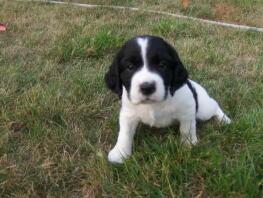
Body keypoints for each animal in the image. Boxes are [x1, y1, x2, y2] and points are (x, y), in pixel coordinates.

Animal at [105, 35, 231, 164]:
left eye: (162, 65)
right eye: (130, 67)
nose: (147, 87)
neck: (153, 104)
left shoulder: (187, 110)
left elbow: (186, 129)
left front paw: (188, 145)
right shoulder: (128, 113)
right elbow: (124, 133)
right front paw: (120, 152)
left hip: (203, 110)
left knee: (214, 105)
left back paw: (224, 119)